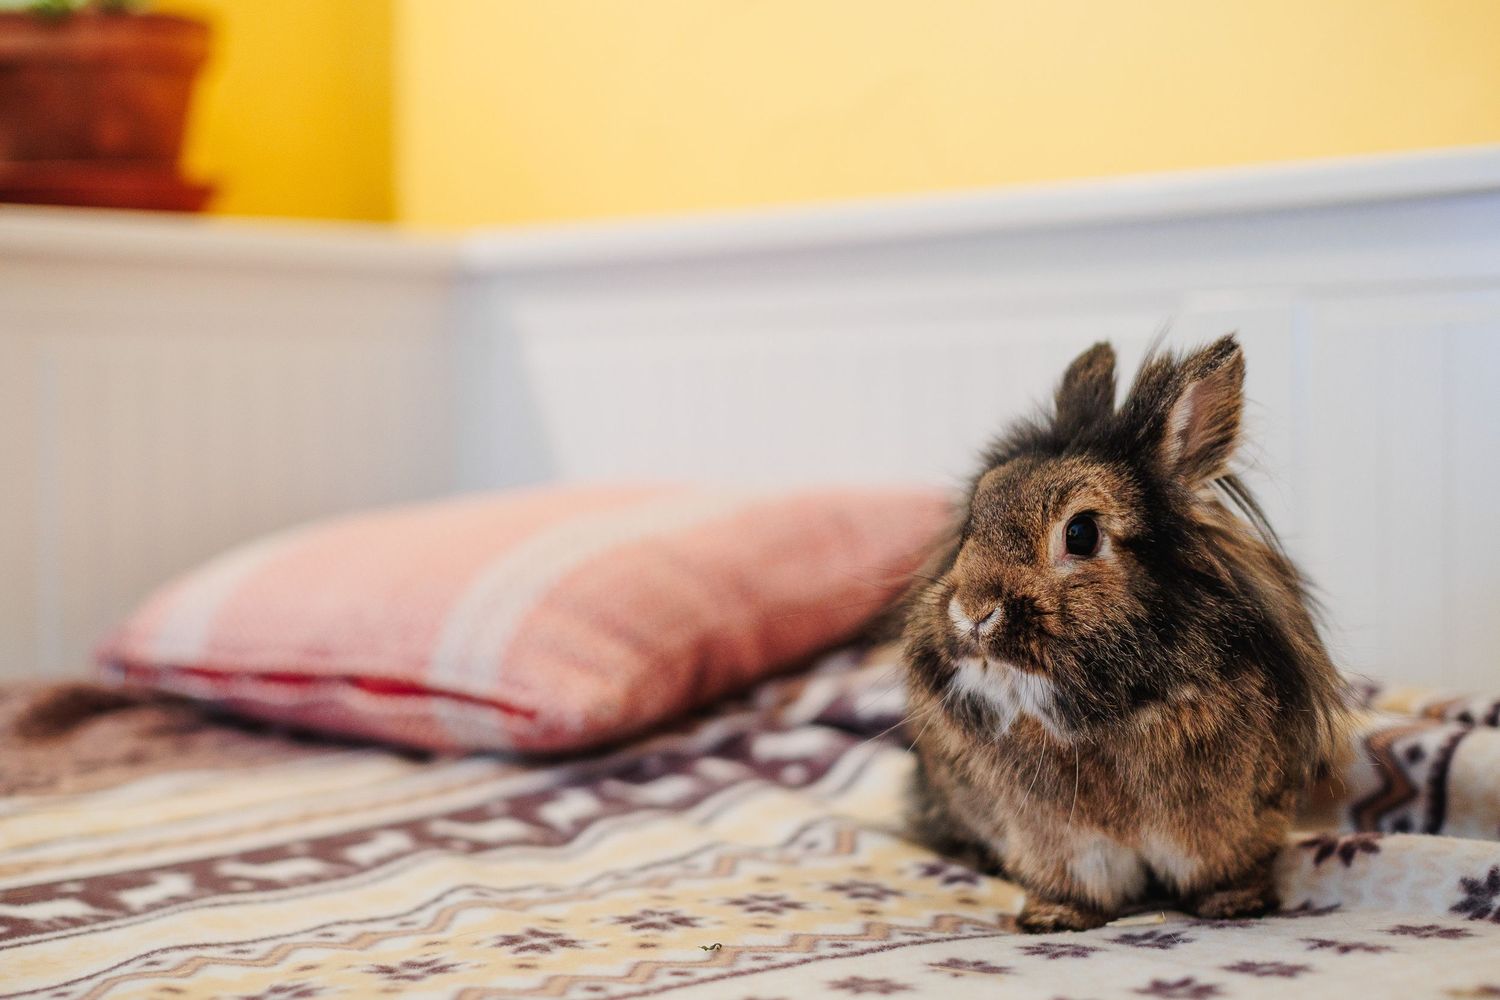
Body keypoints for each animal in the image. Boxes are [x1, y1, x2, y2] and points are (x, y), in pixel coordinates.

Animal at [901, 335, 1348, 933]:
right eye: (974, 519)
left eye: (1082, 533)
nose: (973, 612)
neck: (1104, 716)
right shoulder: (1059, 843)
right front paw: (1054, 918)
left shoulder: (1229, 824)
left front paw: (1236, 906)